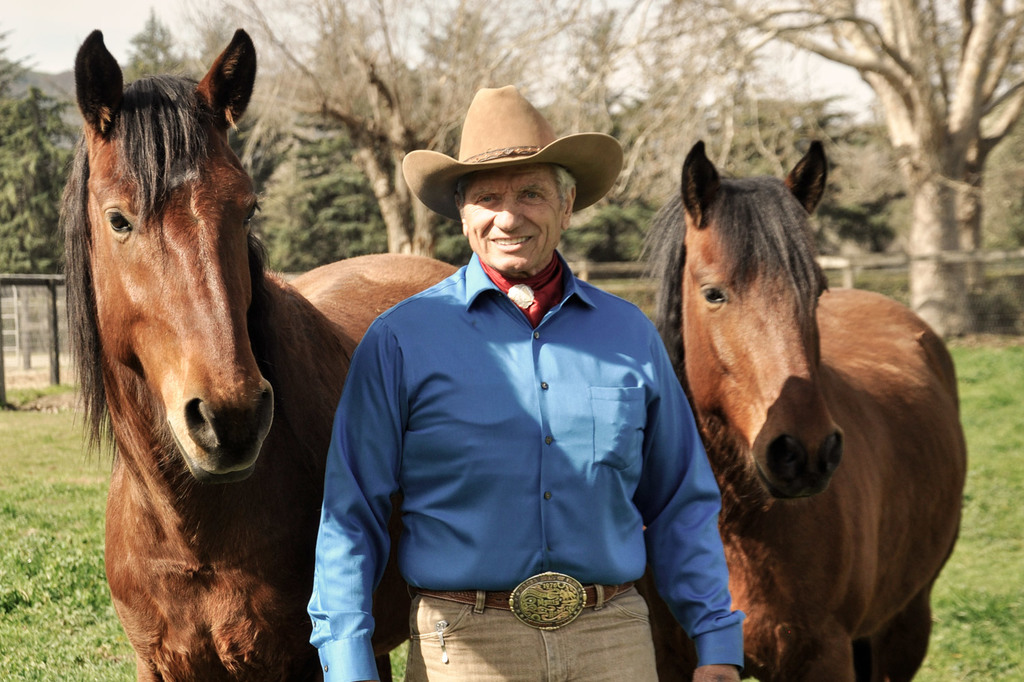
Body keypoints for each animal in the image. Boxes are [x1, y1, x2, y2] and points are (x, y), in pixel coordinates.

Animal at [638, 140, 966, 675]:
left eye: (816, 292)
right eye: (714, 293)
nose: (804, 453)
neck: (737, 526)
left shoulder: (822, 656)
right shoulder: (667, 658)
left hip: (905, 624)